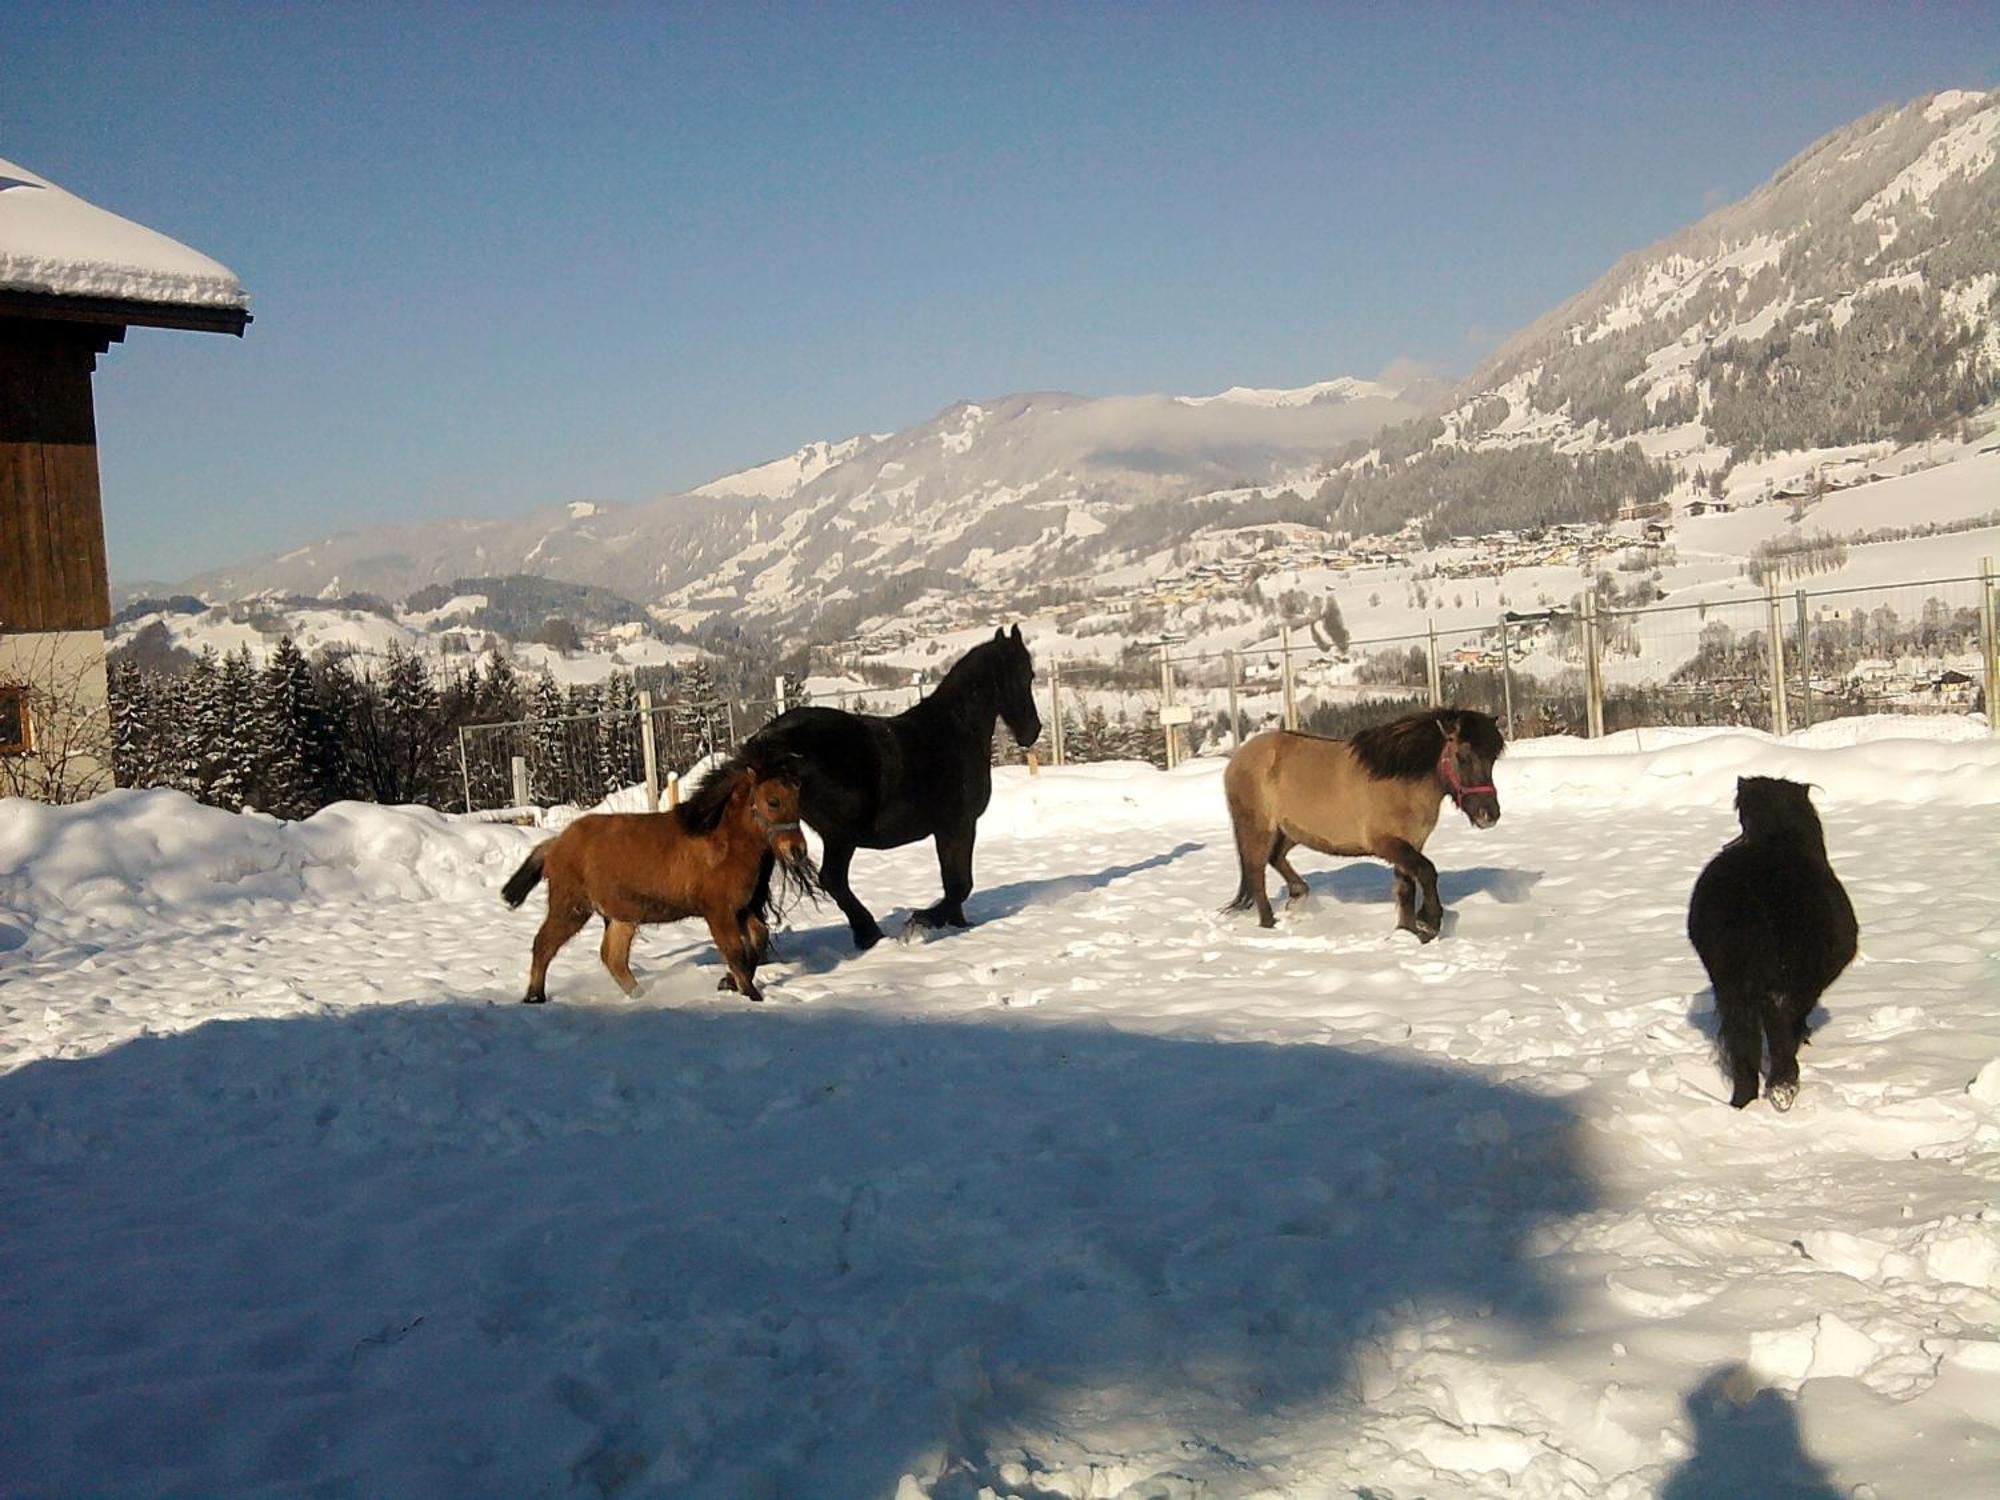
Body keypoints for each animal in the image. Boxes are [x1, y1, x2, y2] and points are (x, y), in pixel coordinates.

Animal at [504, 756, 816, 1004]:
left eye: (797, 801)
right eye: (773, 801)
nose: (797, 850)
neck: (720, 844)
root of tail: (555, 844)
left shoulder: (739, 909)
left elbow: (758, 937)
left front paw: (731, 984)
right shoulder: (718, 912)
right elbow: (735, 952)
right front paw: (751, 995)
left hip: (622, 916)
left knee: (612, 957)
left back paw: (641, 996)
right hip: (571, 907)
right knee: (544, 944)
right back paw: (534, 997)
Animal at [740, 624, 1048, 952]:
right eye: (1025, 673)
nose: (1032, 731)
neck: (956, 730)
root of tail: (770, 740)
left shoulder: (948, 829)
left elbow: (953, 882)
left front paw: (956, 924)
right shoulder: (958, 825)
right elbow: (959, 885)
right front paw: (921, 921)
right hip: (840, 834)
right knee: (832, 879)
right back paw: (869, 933)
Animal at [1216, 712, 1504, 944]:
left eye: (1492, 759)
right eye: (1462, 756)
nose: (1489, 814)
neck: (1400, 779)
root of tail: (1238, 758)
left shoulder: (1410, 844)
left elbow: (1406, 889)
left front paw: (1406, 932)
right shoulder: (1387, 843)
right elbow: (1427, 871)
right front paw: (1428, 923)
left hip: (1291, 830)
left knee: (1275, 858)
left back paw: (1298, 896)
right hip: (1257, 827)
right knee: (1256, 872)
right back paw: (1269, 924)